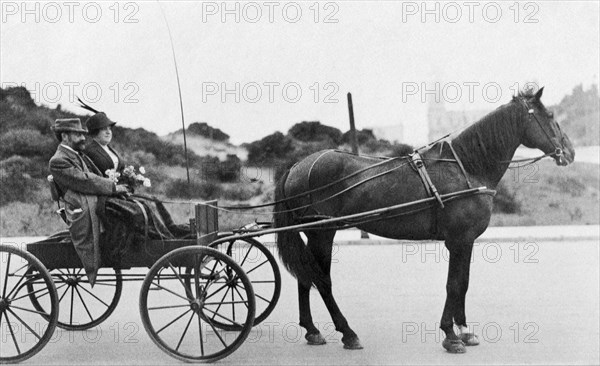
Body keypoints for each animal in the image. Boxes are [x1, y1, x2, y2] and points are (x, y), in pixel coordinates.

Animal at [276, 87, 576, 354]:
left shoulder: (465, 242)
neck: (465, 167)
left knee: (306, 277)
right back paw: (347, 333)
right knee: (322, 280)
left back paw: (312, 330)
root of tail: (297, 166)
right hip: (322, 233)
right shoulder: (459, 240)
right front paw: (450, 335)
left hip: (315, 233)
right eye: (549, 115)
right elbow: (454, 285)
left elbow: (463, 283)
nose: (570, 151)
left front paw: (464, 331)